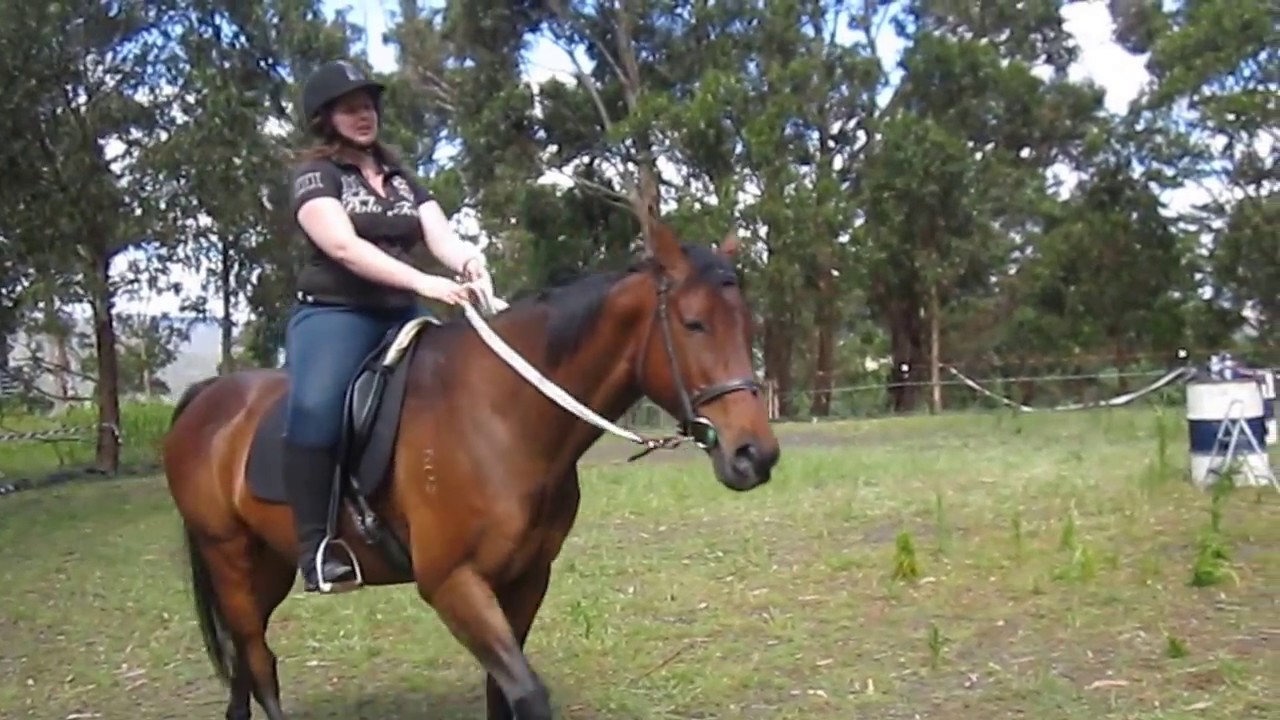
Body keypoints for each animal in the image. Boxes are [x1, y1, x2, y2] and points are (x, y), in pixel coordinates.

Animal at [162, 220, 781, 720]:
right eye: (694, 324)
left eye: (748, 326)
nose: (755, 454)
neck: (499, 416)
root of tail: (208, 396)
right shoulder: (452, 582)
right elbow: (526, 694)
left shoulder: (527, 576)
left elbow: (498, 693)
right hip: (228, 554)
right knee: (258, 659)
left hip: (265, 563)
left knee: (243, 656)